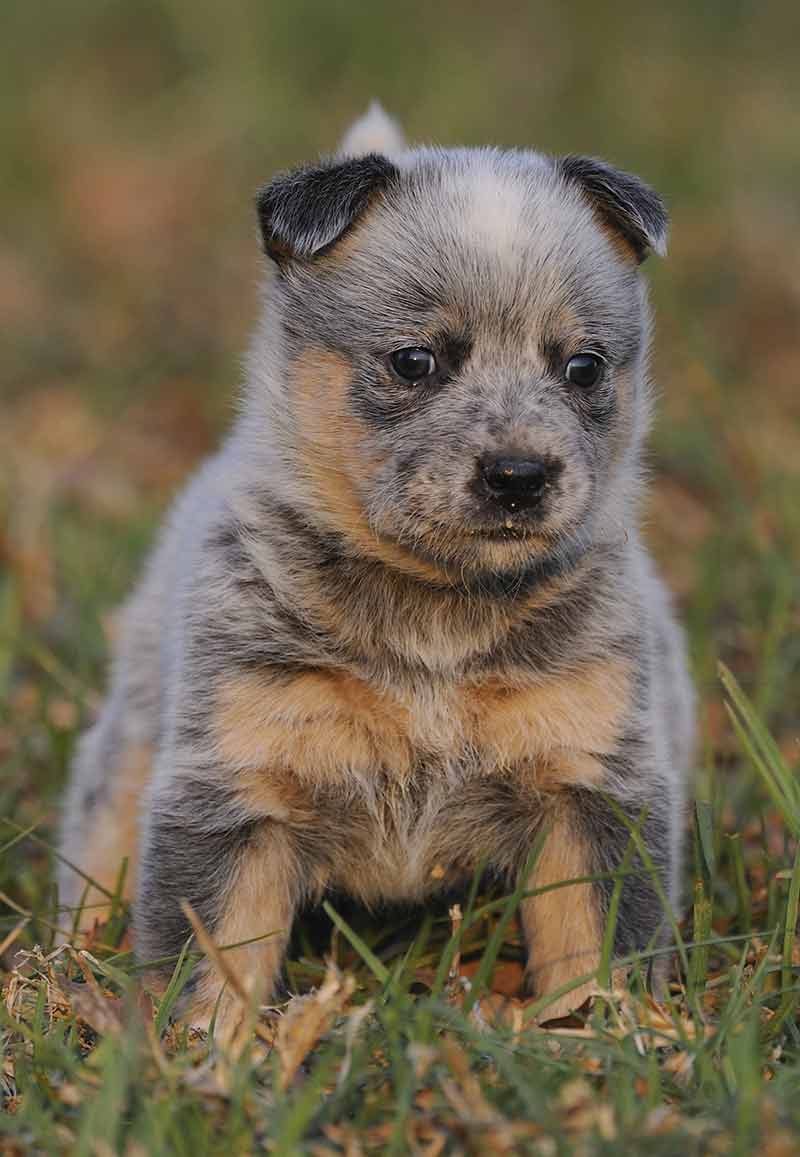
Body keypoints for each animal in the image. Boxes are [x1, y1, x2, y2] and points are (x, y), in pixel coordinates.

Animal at [57, 101, 694, 1041]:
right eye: (414, 361)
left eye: (582, 367)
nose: (519, 475)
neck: (434, 614)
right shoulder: (237, 778)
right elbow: (216, 952)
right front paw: (206, 1052)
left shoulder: (590, 780)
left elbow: (595, 939)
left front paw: (600, 1040)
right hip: (136, 730)